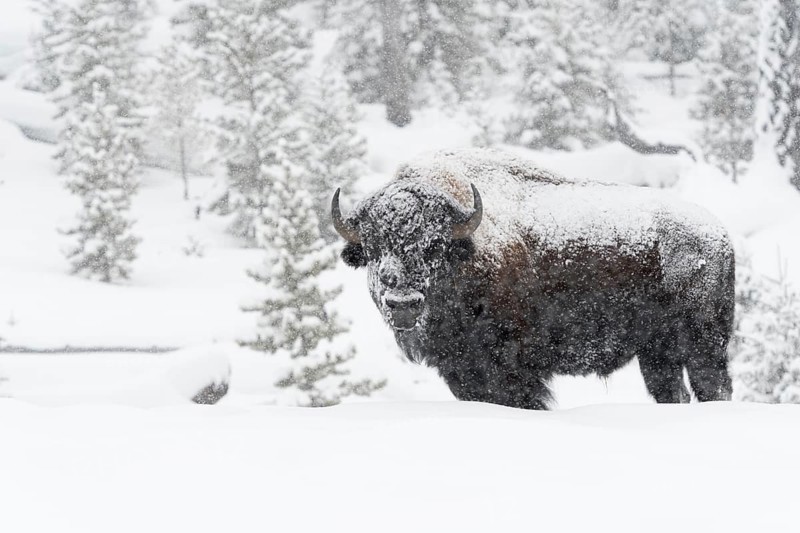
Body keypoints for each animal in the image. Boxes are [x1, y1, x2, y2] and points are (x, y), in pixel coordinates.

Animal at [332, 149, 734, 409]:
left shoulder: (511, 370)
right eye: (372, 247)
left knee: (713, 387)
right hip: (656, 354)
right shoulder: (461, 371)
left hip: (703, 346)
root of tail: (718, 235)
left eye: (435, 245)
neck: (468, 249)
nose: (402, 303)